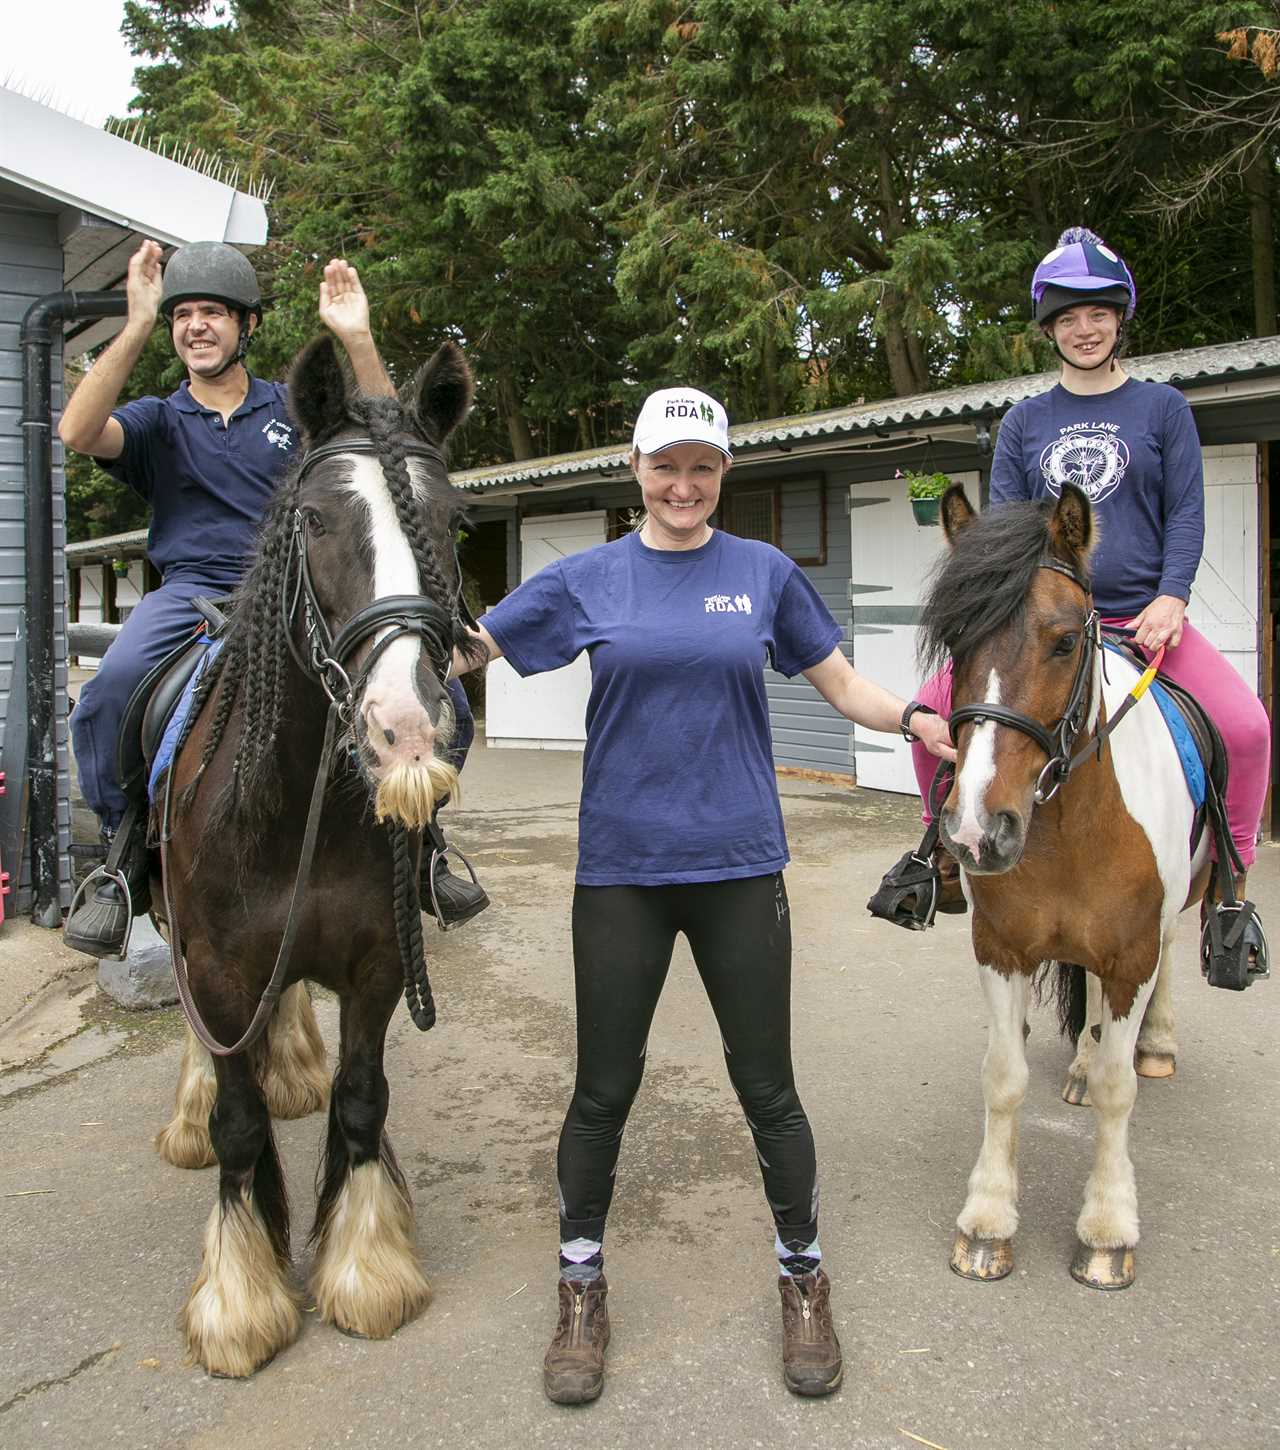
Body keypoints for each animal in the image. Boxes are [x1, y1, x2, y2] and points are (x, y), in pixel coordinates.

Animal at [146, 333, 484, 1374]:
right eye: (316, 518)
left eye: (456, 523)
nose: (405, 732)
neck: (296, 801)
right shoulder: (216, 968)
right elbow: (237, 1124)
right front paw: (240, 1298)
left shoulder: (378, 965)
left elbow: (363, 1099)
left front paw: (366, 1269)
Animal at [933, 484, 1211, 1293]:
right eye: (955, 642)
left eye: (1062, 642)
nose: (976, 830)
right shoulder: (1000, 948)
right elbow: (1003, 1076)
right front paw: (987, 1221)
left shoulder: (1132, 955)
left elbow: (1121, 1091)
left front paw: (1109, 1229)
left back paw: (1155, 1044)